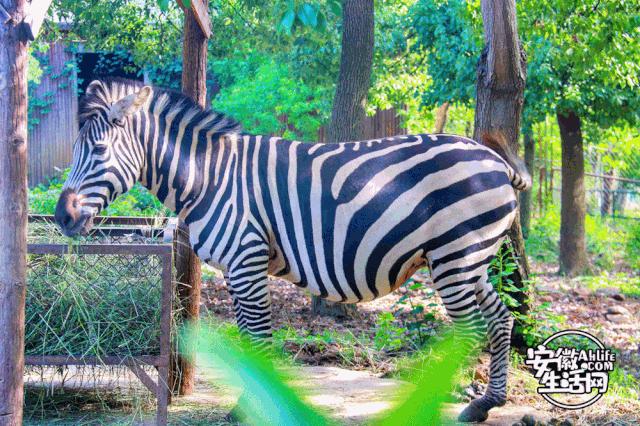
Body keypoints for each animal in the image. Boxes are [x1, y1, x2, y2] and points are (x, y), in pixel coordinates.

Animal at [56, 79, 528, 422]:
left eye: (98, 150)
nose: (62, 217)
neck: (208, 177)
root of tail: (496, 161)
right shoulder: (235, 270)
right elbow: (249, 340)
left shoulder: (246, 260)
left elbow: (260, 338)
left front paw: (254, 408)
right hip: (471, 261)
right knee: (500, 318)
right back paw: (485, 404)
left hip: (454, 256)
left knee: (472, 329)